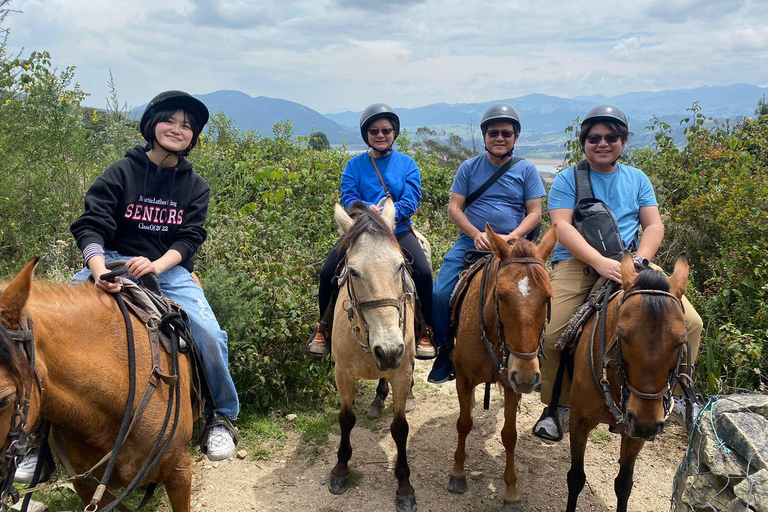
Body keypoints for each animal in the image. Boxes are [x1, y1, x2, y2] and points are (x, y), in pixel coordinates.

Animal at [328, 199, 416, 512]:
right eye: (353, 271)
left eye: (400, 266)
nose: (389, 350)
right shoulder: (342, 374)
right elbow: (346, 419)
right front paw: (340, 470)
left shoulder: (401, 371)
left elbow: (400, 428)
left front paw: (404, 486)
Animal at [448, 225, 556, 512]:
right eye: (500, 295)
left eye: (548, 298)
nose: (527, 377)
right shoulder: (463, 379)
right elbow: (464, 423)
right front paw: (458, 473)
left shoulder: (510, 386)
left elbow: (509, 436)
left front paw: (511, 492)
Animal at [568, 254, 688, 512]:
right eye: (622, 335)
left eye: (681, 340)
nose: (646, 425)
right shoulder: (579, 421)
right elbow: (576, 478)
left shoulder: (634, 434)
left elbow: (624, 484)